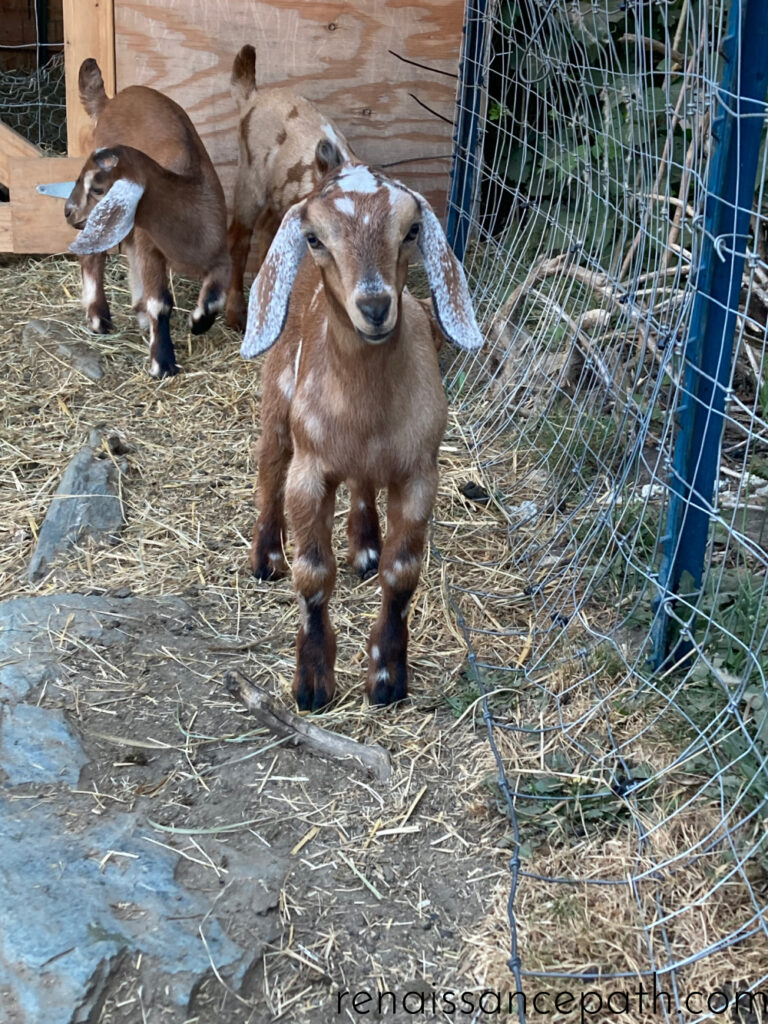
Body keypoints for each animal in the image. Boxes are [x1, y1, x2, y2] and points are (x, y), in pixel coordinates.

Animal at [66, 57, 230, 376]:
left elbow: (217, 297)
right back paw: (99, 319)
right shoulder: (151, 246)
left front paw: (198, 322)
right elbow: (161, 303)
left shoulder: (220, 252)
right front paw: (162, 361)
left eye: (98, 188)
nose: (69, 211)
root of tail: (109, 101)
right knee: (93, 255)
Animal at [222, 45, 354, 327]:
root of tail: (252, 96)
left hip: (280, 196)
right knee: (239, 238)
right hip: (250, 178)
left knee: (266, 230)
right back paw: (235, 314)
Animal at [241, 167, 481, 712]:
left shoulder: (419, 475)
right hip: (278, 398)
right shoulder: (309, 471)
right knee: (269, 463)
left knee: (363, 483)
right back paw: (265, 557)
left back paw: (366, 545)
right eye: (315, 238)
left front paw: (388, 676)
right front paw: (311, 682)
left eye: (412, 230)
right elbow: (312, 574)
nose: (374, 306)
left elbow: (402, 574)